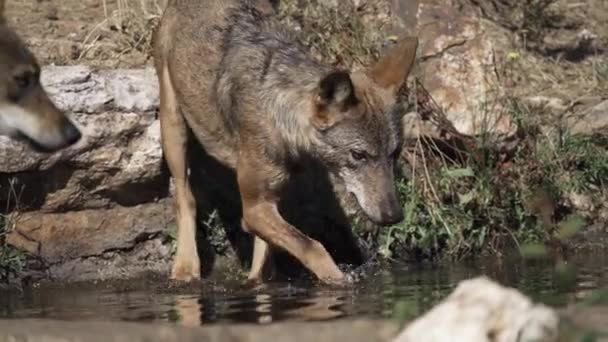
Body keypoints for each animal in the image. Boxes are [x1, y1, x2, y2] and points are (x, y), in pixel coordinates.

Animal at [153, 0, 418, 284]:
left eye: (395, 153)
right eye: (358, 155)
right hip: (173, 127)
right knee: (185, 198)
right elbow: (314, 247)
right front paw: (339, 282)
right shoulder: (254, 209)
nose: (394, 215)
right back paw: (186, 267)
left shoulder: (267, 201)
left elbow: (269, 254)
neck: (281, 117)